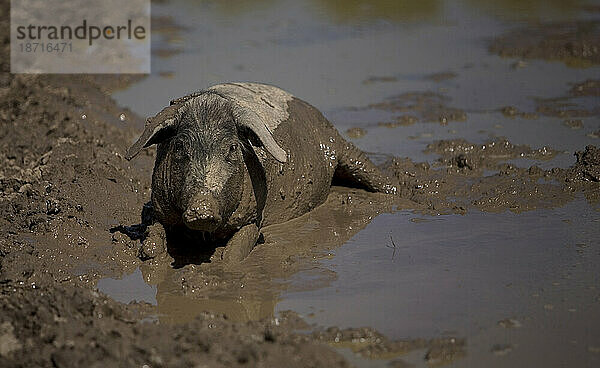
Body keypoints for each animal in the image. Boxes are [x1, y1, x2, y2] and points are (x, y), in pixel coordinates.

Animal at [126, 82, 396, 262]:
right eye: (180, 146)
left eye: (232, 147)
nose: (201, 208)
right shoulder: (159, 205)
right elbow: (152, 237)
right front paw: (149, 251)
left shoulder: (254, 217)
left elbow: (234, 254)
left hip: (340, 146)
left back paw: (397, 191)